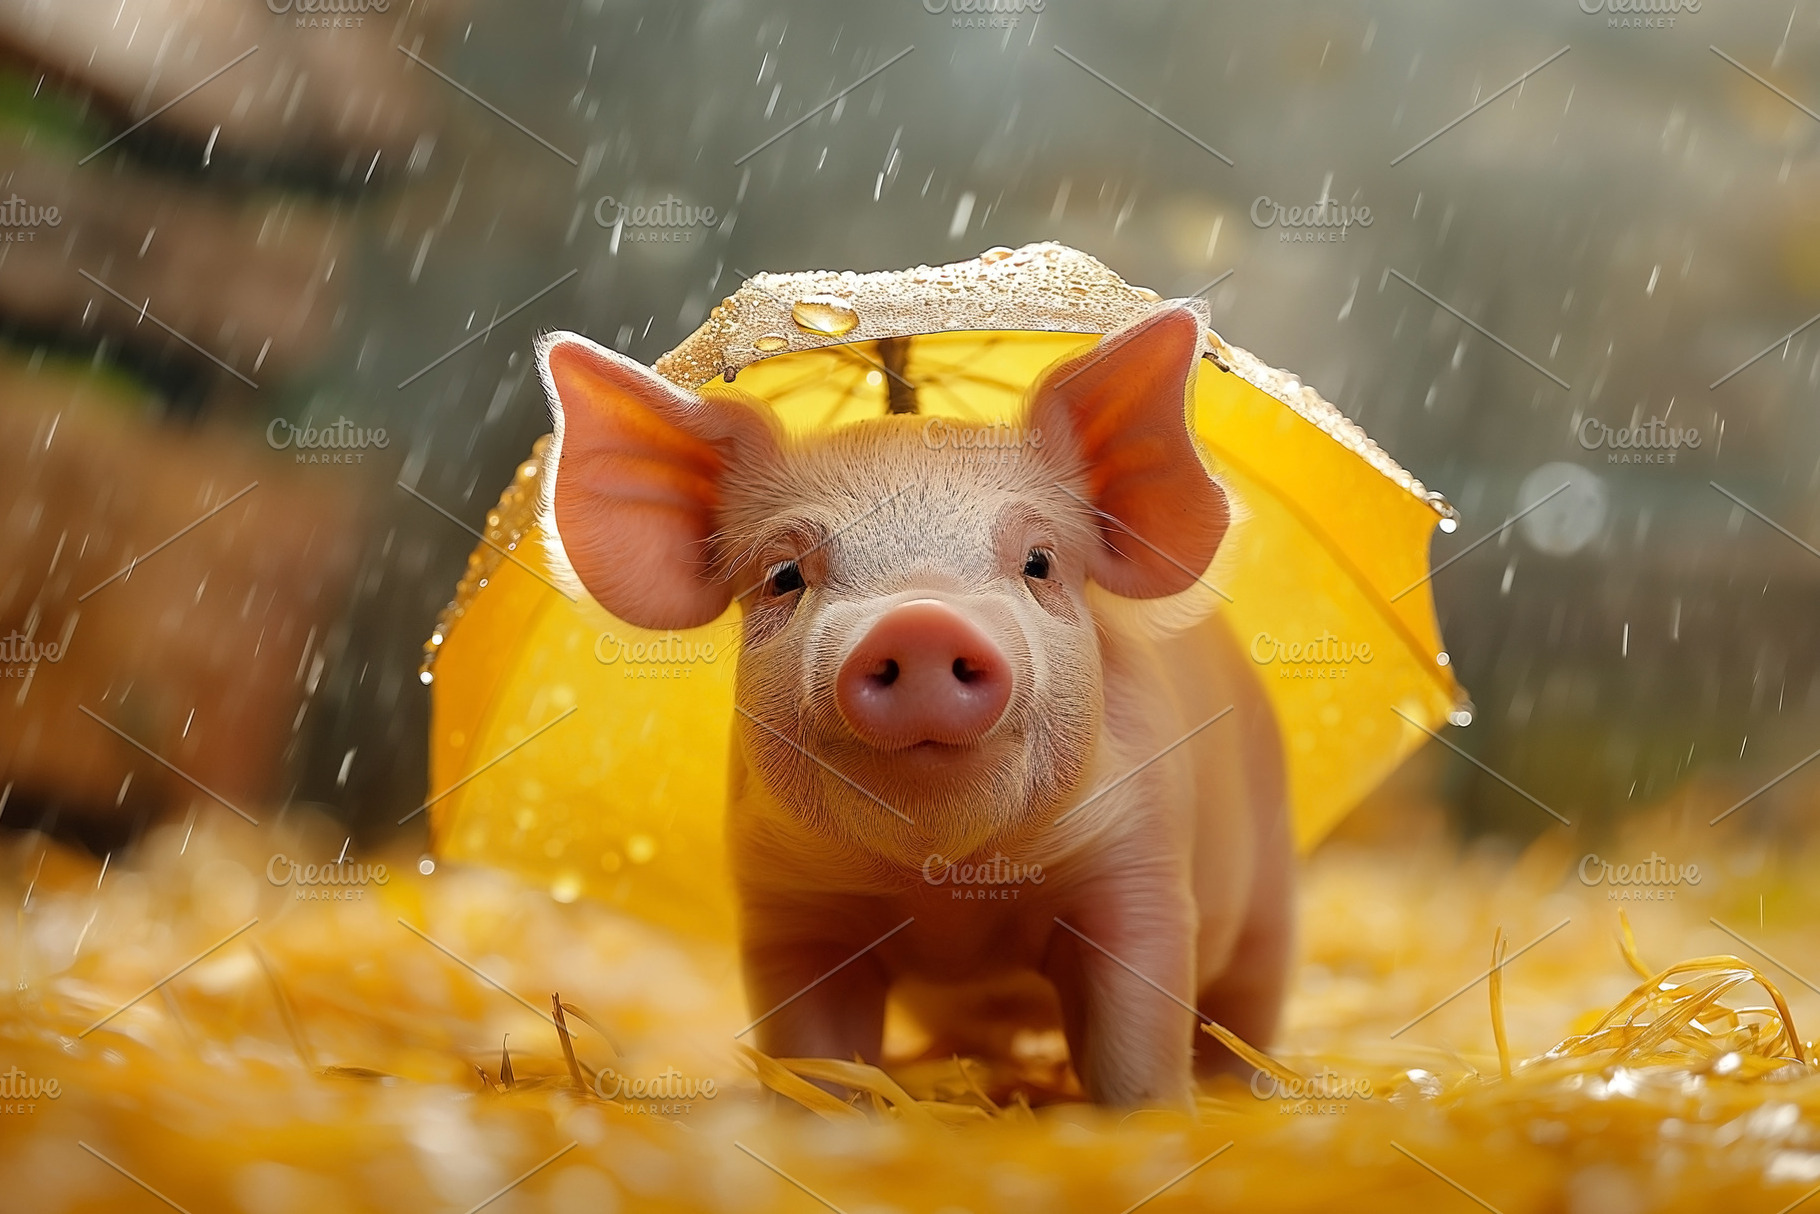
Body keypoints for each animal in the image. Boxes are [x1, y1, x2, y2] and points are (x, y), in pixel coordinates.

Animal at [536, 305, 1291, 1106]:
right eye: (783, 575)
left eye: (1039, 563)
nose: (921, 621)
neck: (945, 897)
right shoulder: (786, 906)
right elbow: (814, 1050)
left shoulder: (1138, 864)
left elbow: (1137, 1034)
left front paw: (1153, 1113)